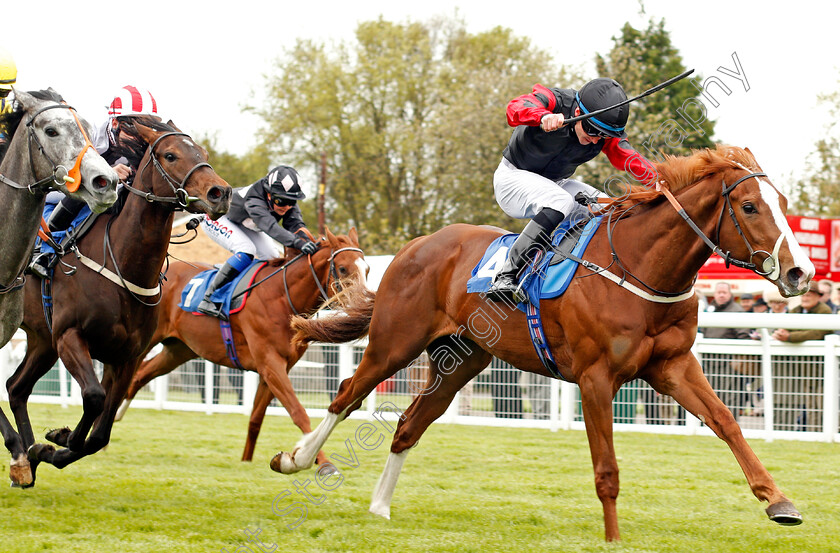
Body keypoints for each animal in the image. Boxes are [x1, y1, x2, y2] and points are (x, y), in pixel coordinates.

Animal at [5, 116, 233, 484]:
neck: (123, 264)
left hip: (42, 340)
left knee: (16, 387)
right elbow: (93, 398)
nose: (220, 193)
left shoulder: (127, 356)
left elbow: (99, 435)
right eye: (170, 155)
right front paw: (59, 439)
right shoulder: (70, 337)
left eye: (204, 153)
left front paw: (48, 447)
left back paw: (24, 459)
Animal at [115, 226, 368, 464]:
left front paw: (246, 460)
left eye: (367, 269)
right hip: (147, 341)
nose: (364, 302)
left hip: (178, 350)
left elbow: (256, 419)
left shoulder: (275, 369)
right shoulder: (270, 364)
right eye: (343, 268)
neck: (281, 297)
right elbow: (298, 412)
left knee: (141, 376)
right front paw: (318, 461)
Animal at [278, 146, 812, 540]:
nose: (800, 272)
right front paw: (613, 539)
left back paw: (380, 507)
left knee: (409, 425)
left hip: (459, 361)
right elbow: (607, 469)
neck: (639, 266)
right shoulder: (596, 378)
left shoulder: (673, 366)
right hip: (394, 343)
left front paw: (778, 500)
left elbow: (726, 422)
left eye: (784, 205)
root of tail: (415, 245)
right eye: (749, 206)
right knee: (346, 395)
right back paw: (297, 459)